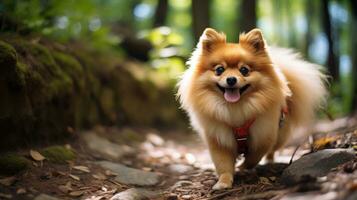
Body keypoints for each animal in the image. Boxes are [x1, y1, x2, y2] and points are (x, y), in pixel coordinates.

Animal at [177, 27, 326, 189]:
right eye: (219, 70)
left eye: (244, 70)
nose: (231, 79)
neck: (236, 109)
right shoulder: (219, 141)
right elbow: (223, 165)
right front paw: (223, 182)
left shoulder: (264, 136)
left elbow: (254, 157)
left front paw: (242, 167)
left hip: (279, 135)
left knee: (271, 151)